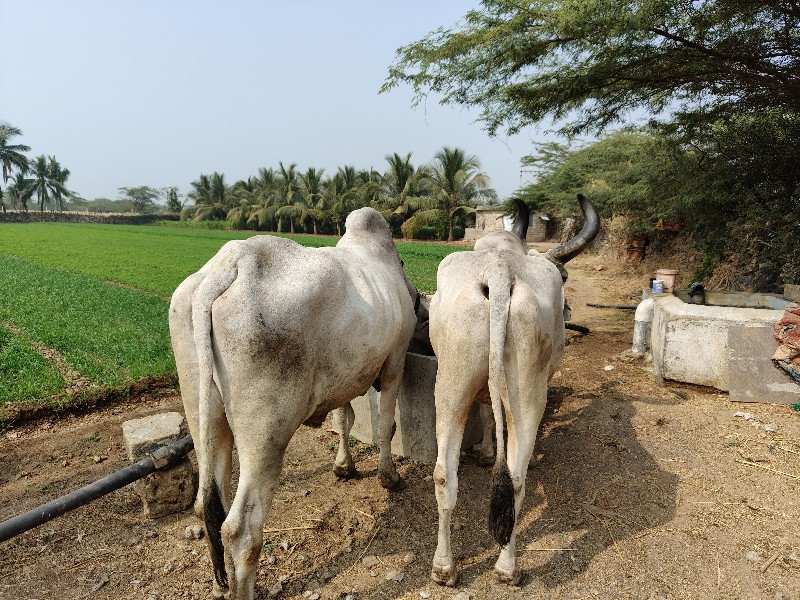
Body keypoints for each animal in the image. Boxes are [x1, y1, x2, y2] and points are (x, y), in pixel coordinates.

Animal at [170, 207, 418, 600]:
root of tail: (230, 263)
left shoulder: (342, 379)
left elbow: (343, 420)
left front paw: (344, 467)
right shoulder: (395, 361)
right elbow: (385, 426)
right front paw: (389, 477)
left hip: (203, 410)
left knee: (208, 506)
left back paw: (221, 586)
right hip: (266, 433)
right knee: (240, 529)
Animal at [428, 196, 596, 584]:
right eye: (564, 278)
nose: (568, 309)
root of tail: (500, 272)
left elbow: (488, 414)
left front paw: (487, 453)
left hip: (450, 385)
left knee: (444, 474)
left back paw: (444, 567)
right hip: (529, 393)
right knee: (516, 478)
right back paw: (507, 567)